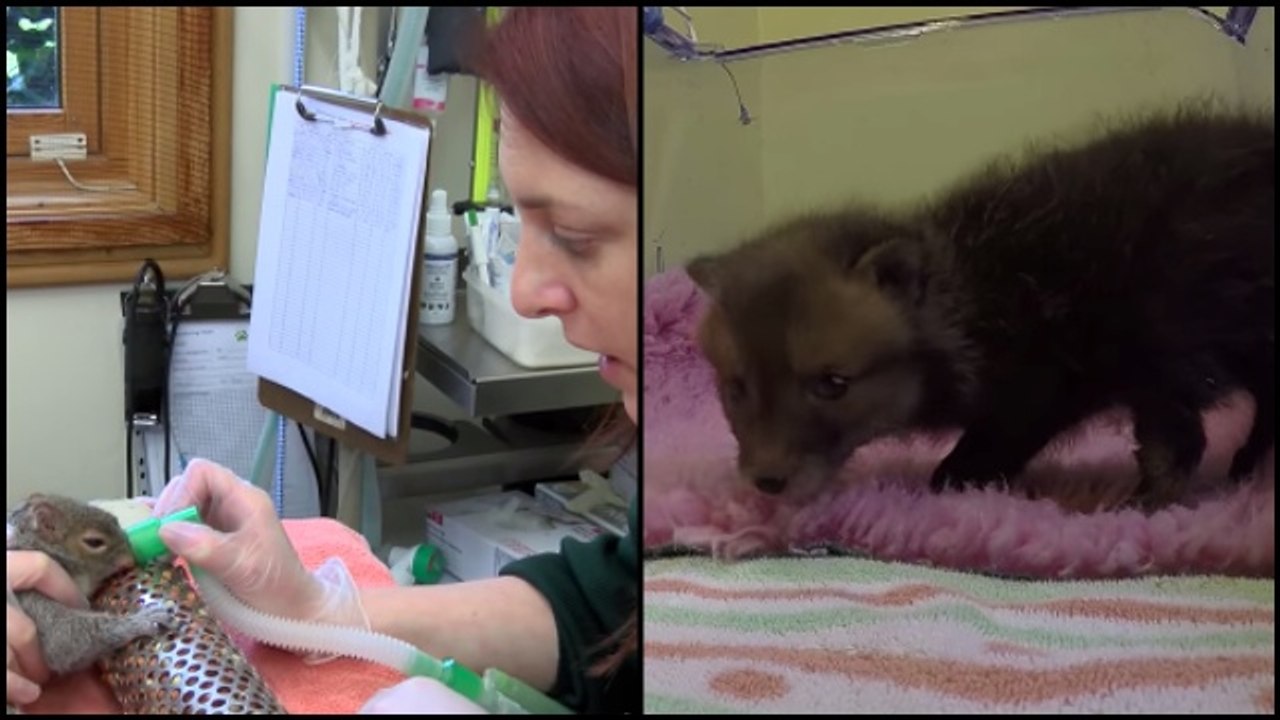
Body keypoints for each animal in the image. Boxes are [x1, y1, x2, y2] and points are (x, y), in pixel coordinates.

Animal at [6, 493, 173, 713]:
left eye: (115, 519)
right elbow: (67, 637)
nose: (131, 558)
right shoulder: (30, 599)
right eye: (94, 542)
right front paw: (142, 619)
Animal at [686, 107, 1274, 510]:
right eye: (736, 389)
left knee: (1186, 442)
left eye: (833, 384)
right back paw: (1243, 472)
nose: (766, 482)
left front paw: (959, 485)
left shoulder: (1044, 387)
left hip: (1163, 336)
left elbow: (976, 454)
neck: (968, 304)